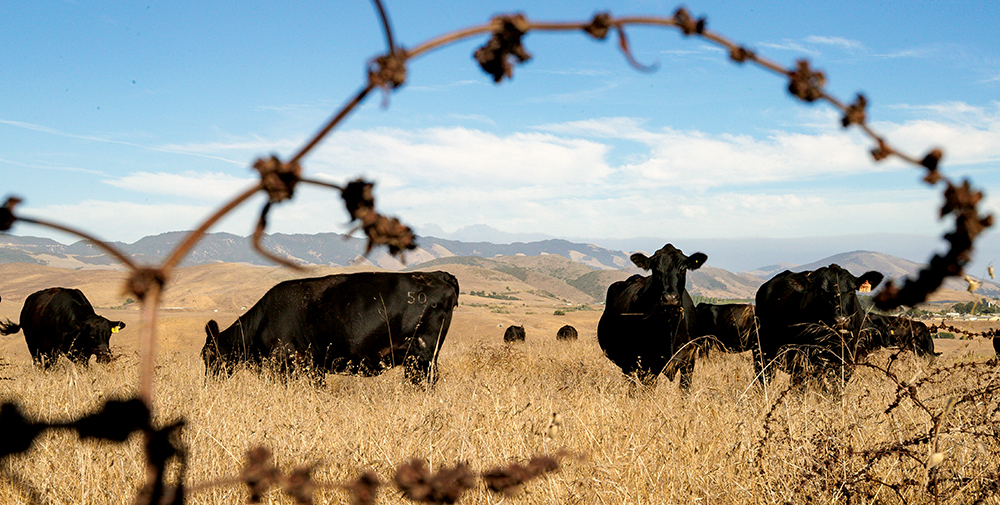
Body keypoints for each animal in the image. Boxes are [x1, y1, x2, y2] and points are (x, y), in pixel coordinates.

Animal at [201, 271, 458, 385]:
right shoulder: (315, 368)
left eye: (208, 356)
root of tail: (438, 275)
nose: (208, 385)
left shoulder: (286, 364)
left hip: (421, 356)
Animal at [597, 243, 707, 391]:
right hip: (628, 364)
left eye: (683, 269)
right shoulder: (649, 364)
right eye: (655, 270)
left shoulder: (689, 360)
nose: (670, 298)